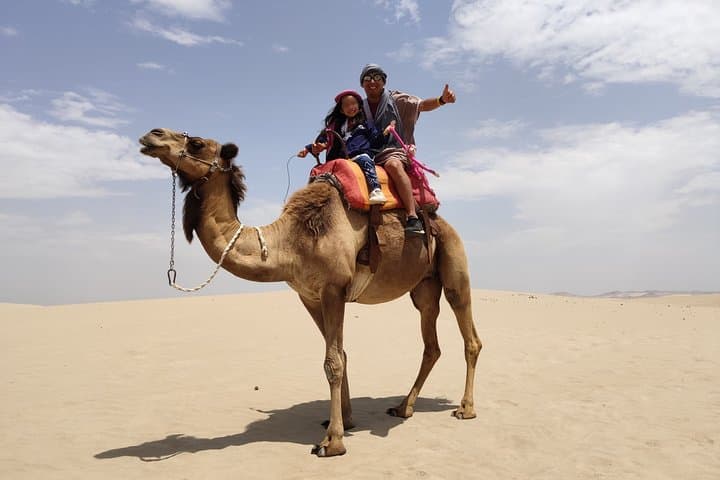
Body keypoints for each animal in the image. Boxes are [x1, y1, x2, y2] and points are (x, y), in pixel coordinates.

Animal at [138, 128, 482, 457]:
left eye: (196, 143)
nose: (151, 135)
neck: (290, 241)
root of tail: (439, 219)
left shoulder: (334, 289)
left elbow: (333, 362)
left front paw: (333, 442)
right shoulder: (310, 296)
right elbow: (340, 354)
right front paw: (343, 420)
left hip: (454, 263)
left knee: (469, 335)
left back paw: (465, 409)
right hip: (423, 287)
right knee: (431, 344)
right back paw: (403, 407)